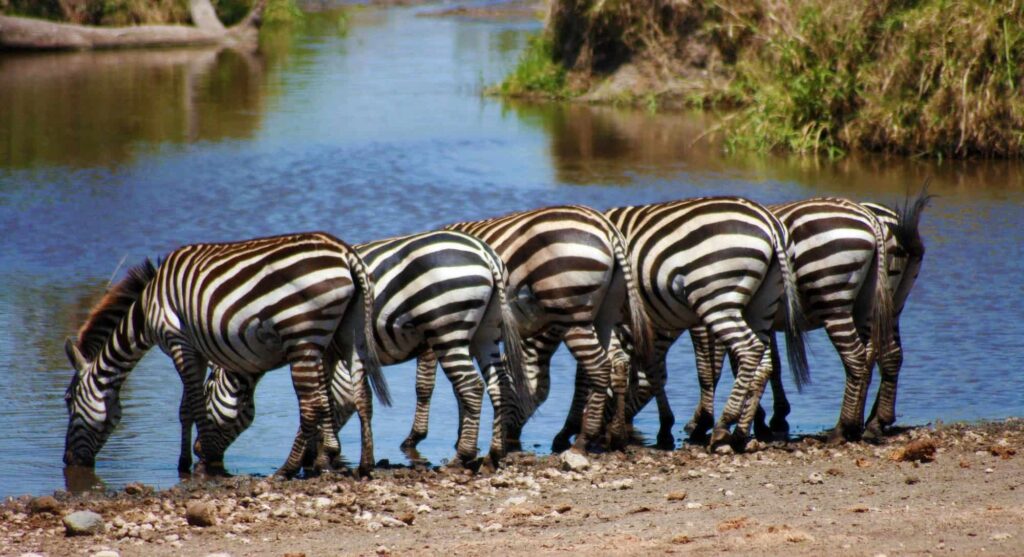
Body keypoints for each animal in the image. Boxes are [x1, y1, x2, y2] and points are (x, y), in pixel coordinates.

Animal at [62, 232, 387, 478]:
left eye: (67, 401)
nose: (67, 461)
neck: (146, 309)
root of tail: (346, 254)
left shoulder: (177, 341)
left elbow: (194, 404)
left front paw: (205, 461)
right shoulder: (196, 349)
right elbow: (185, 407)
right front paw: (186, 462)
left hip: (303, 336)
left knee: (311, 405)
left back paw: (286, 469)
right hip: (345, 335)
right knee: (359, 394)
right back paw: (361, 464)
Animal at [196, 230, 532, 470]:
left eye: (207, 391)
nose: (198, 451)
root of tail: (484, 253)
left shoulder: (317, 348)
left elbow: (324, 399)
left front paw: (315, 456)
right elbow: (331, 399)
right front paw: (321, 454)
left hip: (446, 326)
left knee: (471, 386)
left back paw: (463, 457)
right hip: (485, 331)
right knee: (498, 384)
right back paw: (494, 454)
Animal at [402, 205, 656, 454]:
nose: (511, 438)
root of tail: (607, 229)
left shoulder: (439, 329)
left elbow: (425, 384)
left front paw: (415, 437)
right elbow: (460, 389)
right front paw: (460, 436)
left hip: (572, 309)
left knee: (600, 366)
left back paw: (583, 440)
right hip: (604, 313)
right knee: (619, 362)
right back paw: (617, 436)